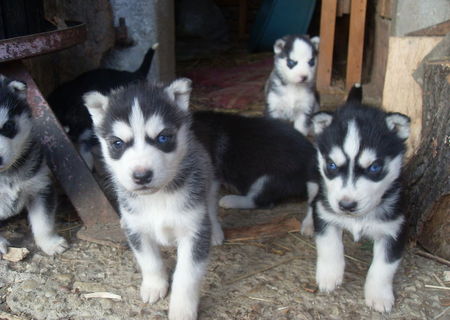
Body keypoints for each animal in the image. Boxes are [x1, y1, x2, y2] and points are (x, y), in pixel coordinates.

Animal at [83, 78, 224, 320]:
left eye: (163, 138)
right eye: (118, 143)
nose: (141, 176)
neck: (158, 198)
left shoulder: (193, 231)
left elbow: (187, 275)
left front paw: (182, 309)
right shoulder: (136, 227)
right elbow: (149, 260)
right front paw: (154, 286)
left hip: (210, 181)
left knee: (212, 206)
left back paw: (215, 231)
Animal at [302, 84, 412, 314]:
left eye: (375, 167)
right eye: (332, 165)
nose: (346, 205)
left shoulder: (396, 228)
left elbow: (384, 266)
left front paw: (379, 295)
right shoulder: (325, 213)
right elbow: (329, 245)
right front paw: (329, 275)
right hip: (314, 179)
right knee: (312, 201)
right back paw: (307, 224)